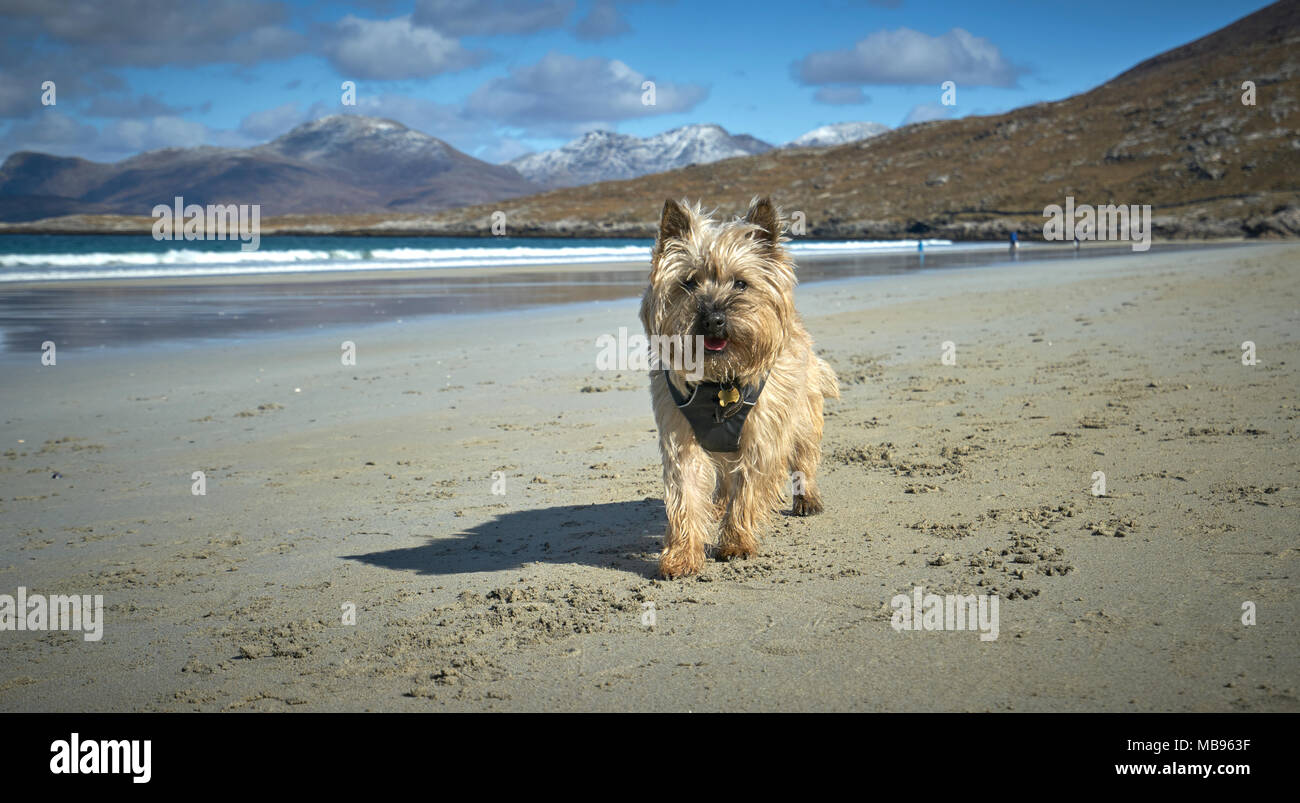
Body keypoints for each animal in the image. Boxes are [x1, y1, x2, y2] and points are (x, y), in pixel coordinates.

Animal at [642, 198, 842, 574]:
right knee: (723, 477)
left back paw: (806, 498)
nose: (713, 319)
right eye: (689, 283)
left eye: (740, 284)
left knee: (804, 454)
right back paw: (718, 504)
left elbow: (748, 489)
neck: (720, 379)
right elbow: (685, 490)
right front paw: (682, 554)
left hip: (804, 410)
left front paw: (735, 542)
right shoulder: (680, 433)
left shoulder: (762, 434)